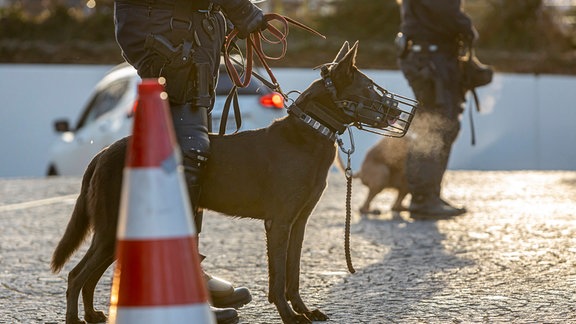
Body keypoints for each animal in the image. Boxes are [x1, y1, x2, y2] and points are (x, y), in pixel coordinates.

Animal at [51, 42, 408, 324]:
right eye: (370, 87)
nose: (396, 109)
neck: (309, 131)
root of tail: (102, 153)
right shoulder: (278, 224)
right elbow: (278, 278)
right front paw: (289, 315)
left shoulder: (299, 224)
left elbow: (292, 275)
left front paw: (304, 311)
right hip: (112, 228)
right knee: (75, 275)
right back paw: (75, 318)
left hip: (114, 232)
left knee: (87, 276)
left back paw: (93, 315)